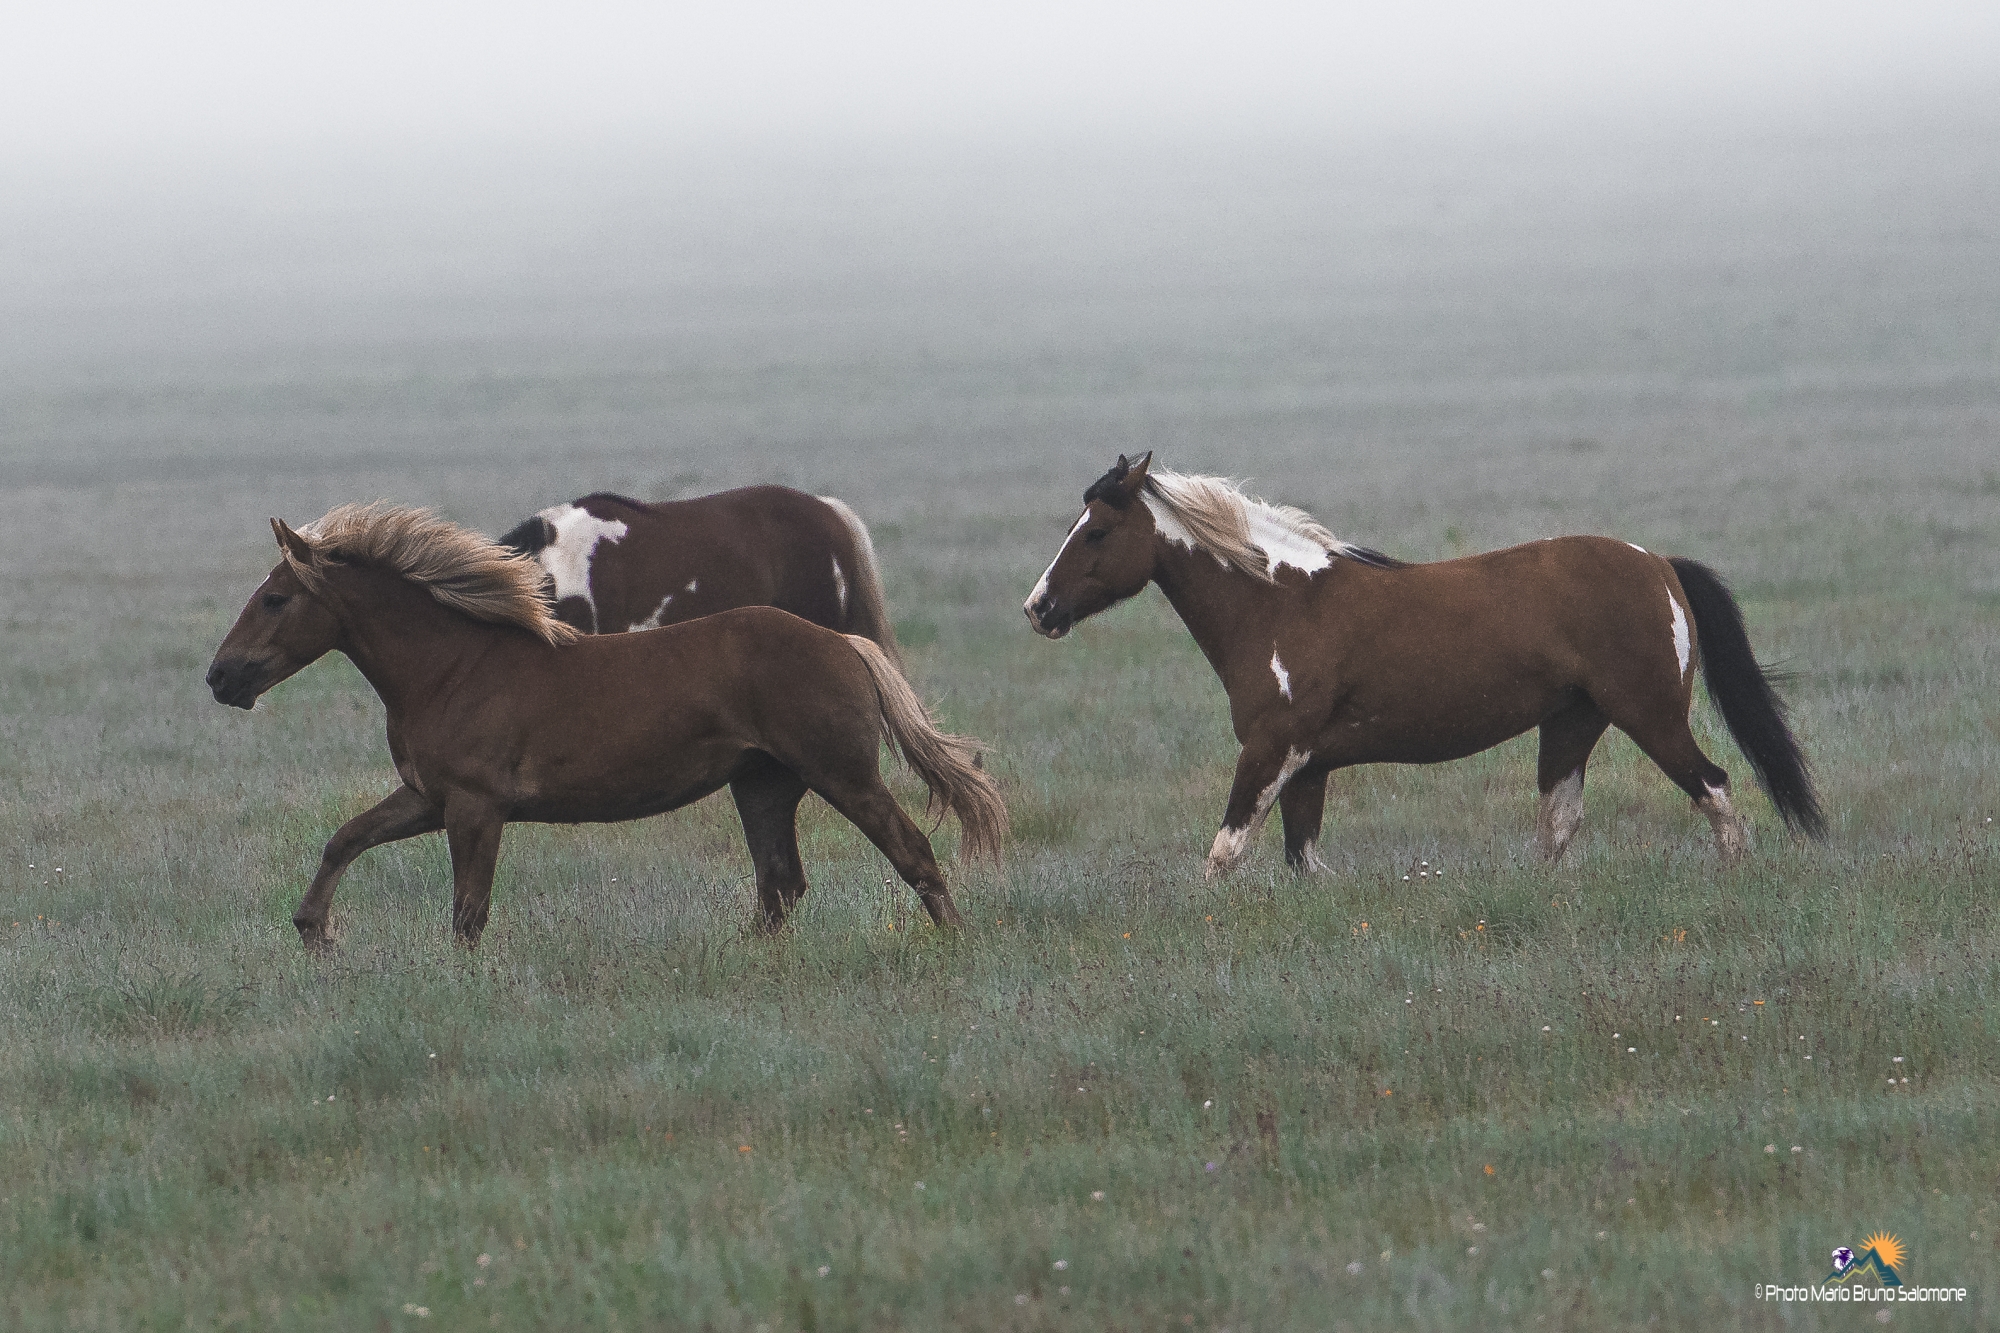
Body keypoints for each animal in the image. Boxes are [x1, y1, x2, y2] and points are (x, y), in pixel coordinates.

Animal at [205, 504, 1003, 949]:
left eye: (274, 599)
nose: (221, 677)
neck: (452, 666)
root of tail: (843, 643)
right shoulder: (430, 798)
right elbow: (346, 838)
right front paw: (314, 933)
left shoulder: (475, 807)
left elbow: (468, 912)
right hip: (763, 785)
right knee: (780, 884)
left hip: (841, 772)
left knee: (909, 851)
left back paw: (956, 946)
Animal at [1023, 453, 1823, 878]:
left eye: (1096, 531)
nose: (1039, 607)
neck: (1281, 604)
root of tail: (1657, 564)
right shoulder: (1308, 768)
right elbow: (1303, 861)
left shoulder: (1271, 752)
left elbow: (1224, 853)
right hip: (1573, 723)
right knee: (1560, 822)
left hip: (1650, 716)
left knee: (1715, 789)